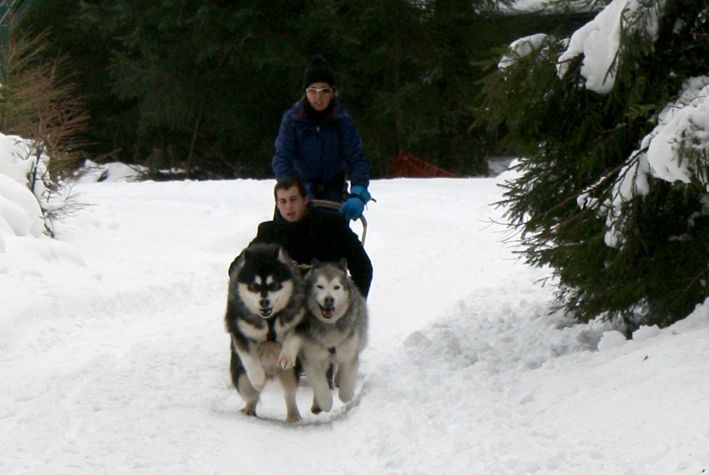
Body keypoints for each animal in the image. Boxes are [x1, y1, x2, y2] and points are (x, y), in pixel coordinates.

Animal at [224, 243, 306, 422]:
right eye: (254, 286)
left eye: (274, 285)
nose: (264, 302)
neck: (269, 319)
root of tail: (271, 373)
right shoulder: (238, 328)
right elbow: (249, 357)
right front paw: (258, 377)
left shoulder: (300, 317)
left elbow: (293, 337)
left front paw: (286, 356)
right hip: (241, 377)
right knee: (252, 396)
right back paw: (249, 410)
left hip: (290, 375)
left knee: (289, 393)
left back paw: (293, 416)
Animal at [279, 259, 368, 414]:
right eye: (319, 286)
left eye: (336, 287)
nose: (329, 299)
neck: (329, 326)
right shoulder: (312, 359)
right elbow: (320, 385)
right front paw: (325, 403)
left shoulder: (349, 352)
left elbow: (347, 379)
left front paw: (347, 395)